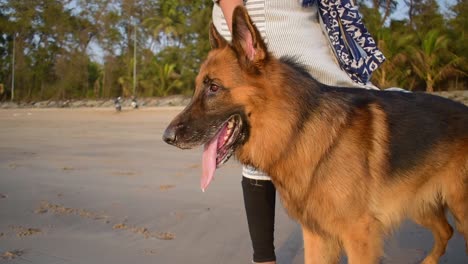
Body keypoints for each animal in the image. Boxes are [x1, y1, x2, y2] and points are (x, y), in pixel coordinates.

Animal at [163, 6, 466, 264]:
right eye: (196, 88)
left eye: (213, 87)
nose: (167, 137)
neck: (298, 127)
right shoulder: (318, 237)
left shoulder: (359, 238)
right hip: (420, 205)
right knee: (445, 231)